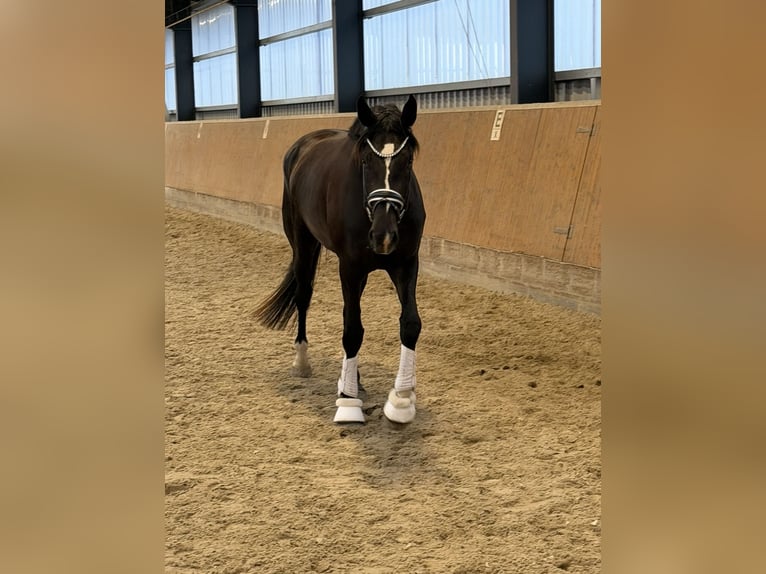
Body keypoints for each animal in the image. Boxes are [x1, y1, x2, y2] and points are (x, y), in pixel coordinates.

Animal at [255, 95, 425, 424]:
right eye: (366, 161)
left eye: (408, 161)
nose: (384, 236)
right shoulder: (349, 265)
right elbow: (352, 329)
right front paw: (348, 403)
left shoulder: (406, 263)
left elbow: (410, 323)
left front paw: (401, 401)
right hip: (303, 244)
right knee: (304, 295)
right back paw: (303, 363)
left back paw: (351, 378)